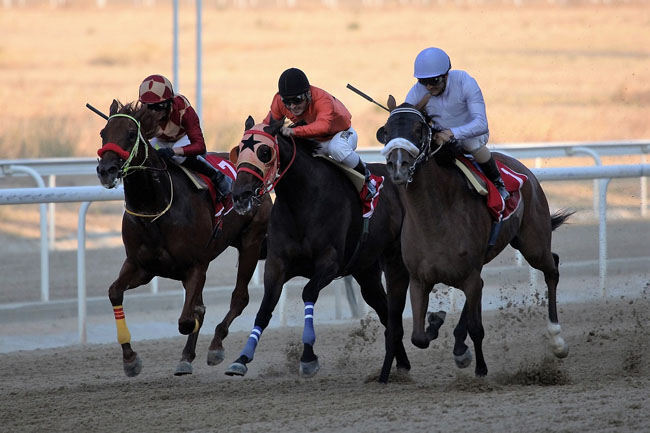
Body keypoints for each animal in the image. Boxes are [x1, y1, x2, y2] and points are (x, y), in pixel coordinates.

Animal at [94, 100, 270, 374]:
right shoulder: (141, 267)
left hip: (251, 241)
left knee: (240, 298)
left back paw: (215, 345)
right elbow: (114, 293)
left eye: (131, 135)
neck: (154, 207)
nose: (106, 171)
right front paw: (130, 359)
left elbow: (188, 318)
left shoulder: (195, 265)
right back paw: (187, 356)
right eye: (103, 133)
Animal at [378, 103, 568, 376]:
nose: (398, 166)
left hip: (533, 244)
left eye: (419, 129)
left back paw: (557, 340)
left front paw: (480, 367)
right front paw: (436, 322)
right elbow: (418, 337)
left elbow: (477, 329)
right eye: (386, 130)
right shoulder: (419, 280)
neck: (434, 218)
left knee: (552, 268)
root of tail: (525, 171)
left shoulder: (468, 275)